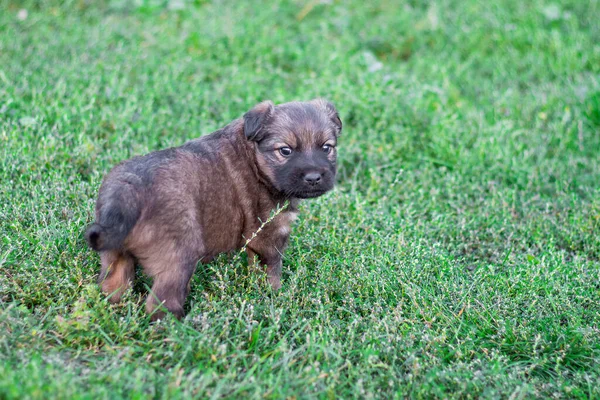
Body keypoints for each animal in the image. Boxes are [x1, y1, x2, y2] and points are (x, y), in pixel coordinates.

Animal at [83, 101, 342, 322]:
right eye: (285, 151)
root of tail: (127, 190)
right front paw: (277, 297)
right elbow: (272, 270)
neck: (255, 158)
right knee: (160, 303)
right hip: (179, 255)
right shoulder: (269, 234)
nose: (313, 178)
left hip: (114, 253)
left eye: (326, 148)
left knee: (113, 286)